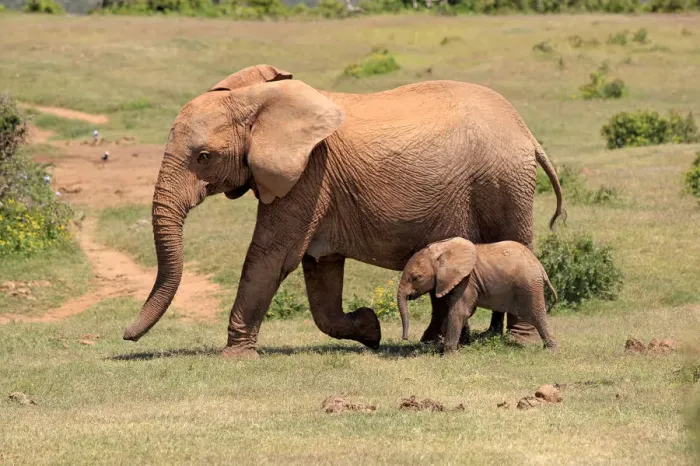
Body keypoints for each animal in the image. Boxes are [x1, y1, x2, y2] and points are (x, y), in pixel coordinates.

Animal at [397, 237, 558, 353]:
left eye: (416, 277)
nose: (405, 338)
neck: (442, 251)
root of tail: (540, 267)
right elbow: (463, 312)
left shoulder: (467, 280)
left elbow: (460, 311)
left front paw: (448, 354)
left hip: (529, 286)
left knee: (536, 315)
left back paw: (551, 350)